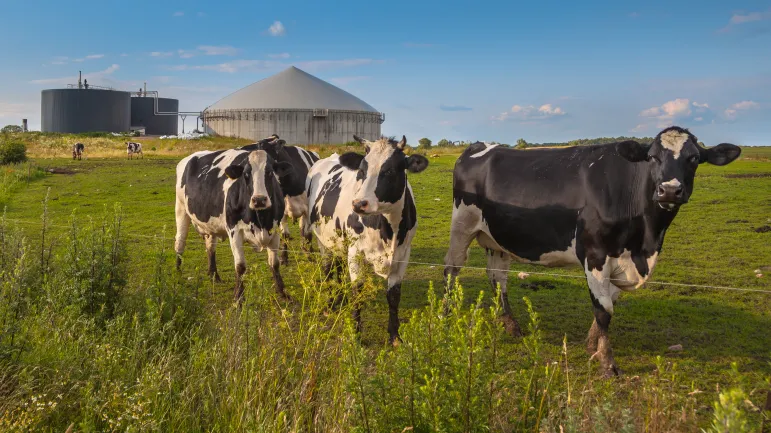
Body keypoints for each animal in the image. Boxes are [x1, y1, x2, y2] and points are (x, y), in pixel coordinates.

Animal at [173, 147, 294, 298]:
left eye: (270, 172)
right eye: (246, 174)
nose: (259, 200)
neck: (260, 220)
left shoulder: (275, 230)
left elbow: (275, 264)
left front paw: (282, 292)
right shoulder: (234, 230)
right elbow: (240, 266)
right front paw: (238, 296)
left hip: (210, 226)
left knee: (210, 247)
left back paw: (214, 275)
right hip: (181, 209)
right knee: (180, 242)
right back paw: (178, 274)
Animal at [238, 134, 316, 264]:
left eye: (261, 146)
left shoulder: (307, 210)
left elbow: (308, 234)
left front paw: (310, 255)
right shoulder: (282, 212)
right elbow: (285, 235)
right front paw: (284, 257)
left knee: (303, 230)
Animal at [306, 135, 428, 344]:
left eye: (389, 170)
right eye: (362, 170)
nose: (359, 204)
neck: (388, 230)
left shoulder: (403, 254)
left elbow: (394, 295)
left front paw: (395, 335)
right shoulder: (356, 252)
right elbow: (358, 291)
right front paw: (356, 335)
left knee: (338, 267)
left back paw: (340, 299)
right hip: (323, 240)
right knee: (328, 269)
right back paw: (330, 305)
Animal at [446, 125, 740, 374]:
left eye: (694, 158)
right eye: (652, 157)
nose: (669, 190)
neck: (645, 242)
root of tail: (481, 145)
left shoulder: (623, 260)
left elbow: (610, 302)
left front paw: (593, 344)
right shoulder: (595, 253)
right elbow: (603, 309)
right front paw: (607, 362)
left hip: (496, 238)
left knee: (498, 278)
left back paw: (509, 324)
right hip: (462, 224)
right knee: (452, 268)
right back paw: (447, 313)